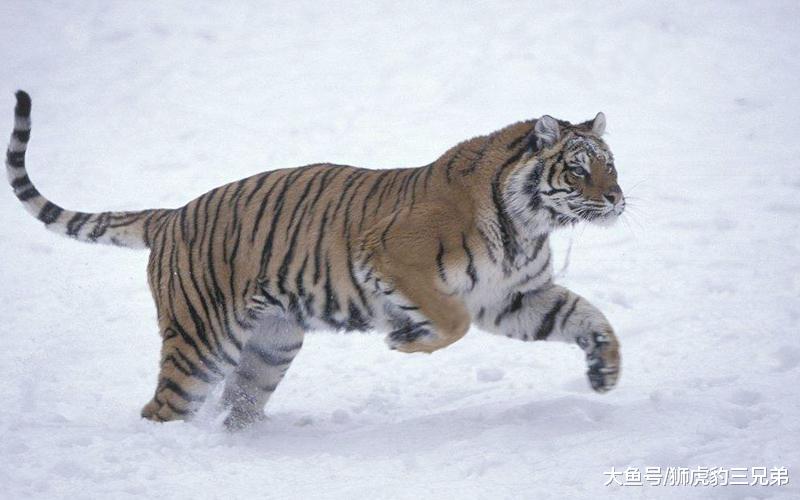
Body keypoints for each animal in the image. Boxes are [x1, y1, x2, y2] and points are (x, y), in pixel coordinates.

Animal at [6, 90, 623, 429]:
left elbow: (589, 318)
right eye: (577, 169)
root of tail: (171, 214)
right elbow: (452, 321)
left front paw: (606, 371)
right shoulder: (396, 258)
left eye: (610, 164)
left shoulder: (515, 295)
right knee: (162, 407)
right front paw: (405, 340)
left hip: (270, 344)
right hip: (199, 342)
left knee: (238, 403)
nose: (617, 198)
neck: (530, 222)